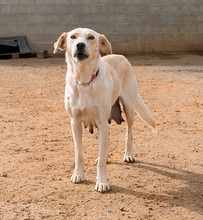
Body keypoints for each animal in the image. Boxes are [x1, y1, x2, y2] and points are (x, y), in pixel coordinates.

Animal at [52, 27, 157, 192]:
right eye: (73, 37)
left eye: (91, 37)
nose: (80, 45)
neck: (84, 81)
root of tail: (119, 55)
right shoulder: (75, 122)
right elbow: (79, 154)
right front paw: (78, 175)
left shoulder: (101, 121)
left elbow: (101, 159)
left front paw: (102, 182)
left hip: (129, 107)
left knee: (129, 132)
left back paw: (128, 154)